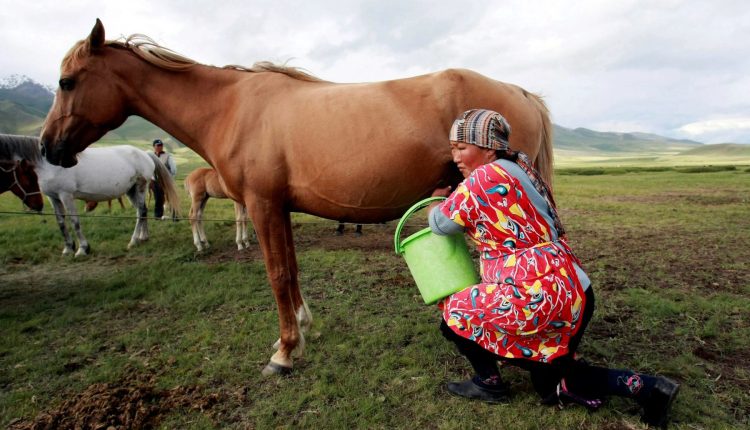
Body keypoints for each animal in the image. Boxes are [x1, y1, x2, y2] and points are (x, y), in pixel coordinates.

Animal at [0, 134, 181, 255]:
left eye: (30, 176)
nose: (38, 206)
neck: (49, 164)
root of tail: (145, 154)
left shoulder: (66, 195)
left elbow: (75, 222)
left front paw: (82, 249)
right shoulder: (53, 197)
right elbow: (61, 223)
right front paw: (68, 248)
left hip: (140, 187)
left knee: (141, 212)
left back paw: (133, 241)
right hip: (131, 191)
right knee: (142, 211)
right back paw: (143, 237)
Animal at [42, 21, 560, 376]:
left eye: (68, 81)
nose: (49, 147)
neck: (231, 107)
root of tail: (520, 91)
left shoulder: (262, 206)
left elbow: (275, 275)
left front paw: (285, 352)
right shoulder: (277, 208)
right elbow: (289, 270)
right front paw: (305, 328)